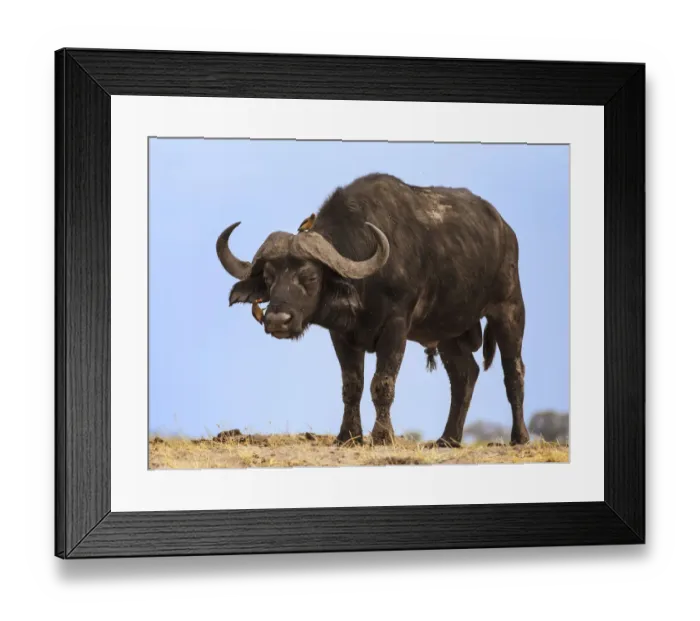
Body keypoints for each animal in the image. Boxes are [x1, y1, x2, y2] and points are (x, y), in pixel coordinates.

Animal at [216, 173, 529, 447]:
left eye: (310, 277)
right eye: (269, 278)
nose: (278, 320)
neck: (366, 282)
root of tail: (506, 229)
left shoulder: (396, 328)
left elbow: (382, 384)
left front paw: (382, 436)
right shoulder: (341, 335)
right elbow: (352, 386)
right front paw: (348, 436)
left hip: (509, 309)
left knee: (513, 372)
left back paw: (519, 437)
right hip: (449, 331)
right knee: (465, 375)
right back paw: (448, 439)